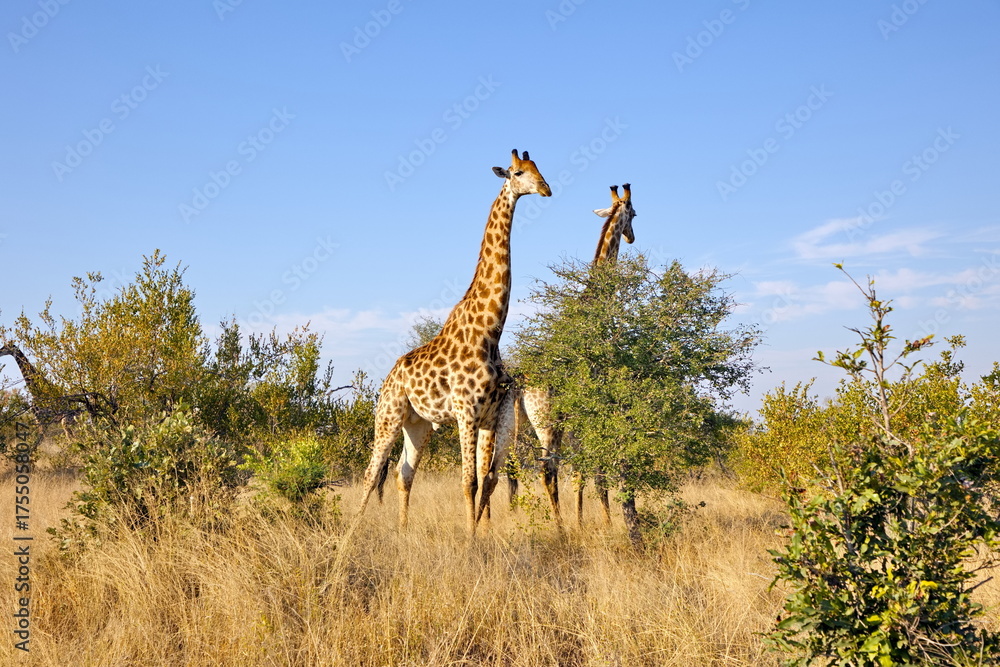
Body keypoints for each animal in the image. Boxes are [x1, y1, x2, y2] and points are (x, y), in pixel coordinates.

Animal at [357, 149, 551, 534]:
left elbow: (486, 478)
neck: (489, 331)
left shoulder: (489, 414)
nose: (545, 188)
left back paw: (403, 532)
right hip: (388, 415)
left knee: (403, 473)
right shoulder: (466, 411)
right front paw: (470, 539)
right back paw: (348, 536)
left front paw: (480, 533)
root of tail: (388, 378)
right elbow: (469, 481)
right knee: (371, 474)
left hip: (417, 424)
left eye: (539, 169)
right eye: (518, 173)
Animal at [506, 184, 637, 527]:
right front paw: (605, 521)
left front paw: (583, 518)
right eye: (634, 213)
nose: (631, 237)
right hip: (547, 420)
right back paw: (560, 526)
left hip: (518, 422)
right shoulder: (596, 400)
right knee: (546, 468)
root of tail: (522, 382)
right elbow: (596, 467)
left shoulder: (580, 414)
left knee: (512, 467)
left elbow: (582, 469)